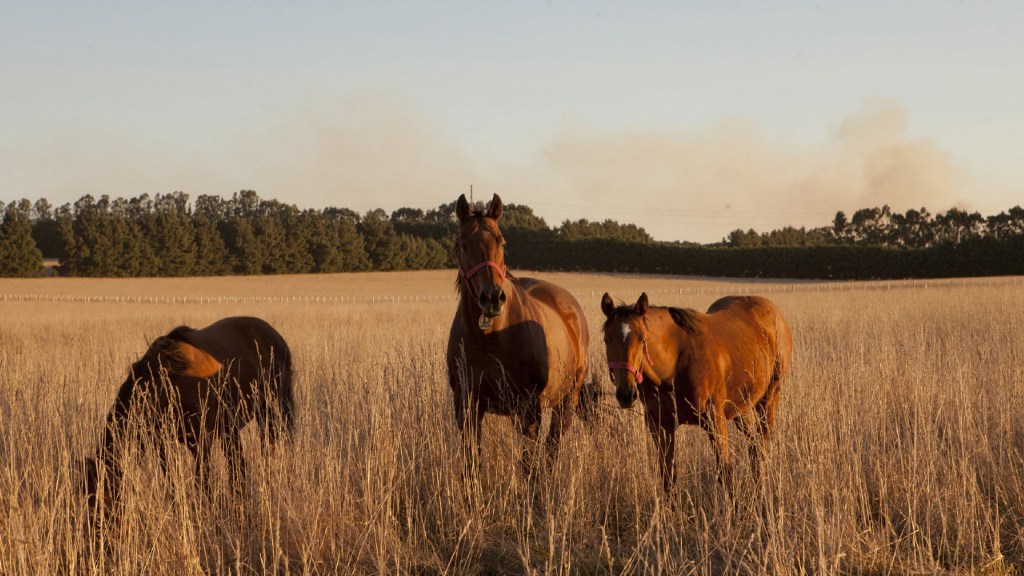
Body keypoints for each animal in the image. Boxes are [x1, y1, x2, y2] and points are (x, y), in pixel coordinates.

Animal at [82, 315, 294, 508]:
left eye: (103, 496)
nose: (95, 524)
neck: (167, 385)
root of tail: (277, 337)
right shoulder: (162, 444)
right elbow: (170, 481)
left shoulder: (201, 442)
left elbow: (202, 483)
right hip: (231, 428)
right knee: (237, 465)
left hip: (273, 411)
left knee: (271, 448)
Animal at [444, 193, 589, 475]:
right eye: (464, 245)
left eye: (501, 242)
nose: (492, 298)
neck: (490, 339)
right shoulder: (466, 406)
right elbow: (471, 464)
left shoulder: (530, 408)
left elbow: (529, 466)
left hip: (566, 400)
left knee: (552, 448)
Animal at [598, 293, 790, 491]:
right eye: (607, 339)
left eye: (642, 339)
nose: (626, 394)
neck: (675, 365)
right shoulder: (660, 426)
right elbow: (668, 477)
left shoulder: (715, 419)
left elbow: (726, 472)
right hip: (742, 408)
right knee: (753, 446)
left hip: (769, 398)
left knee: (761, 448)